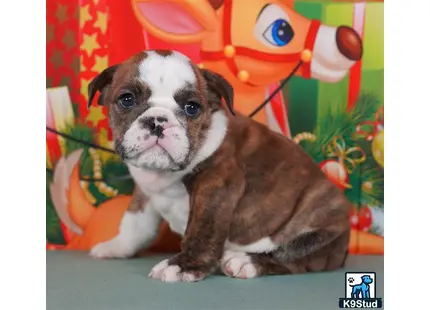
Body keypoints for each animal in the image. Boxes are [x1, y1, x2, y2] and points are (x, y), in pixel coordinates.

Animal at [88, 49, 352, 282]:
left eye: (192, 107)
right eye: (127, 99)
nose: (157, 121)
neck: (164, 174)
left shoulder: (217, 186)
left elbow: (202, 230)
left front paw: (183, 266)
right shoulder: (145, 191)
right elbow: (136, 223)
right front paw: (118, 246)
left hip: (321, 229)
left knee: (292, 258)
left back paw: (246, 261)